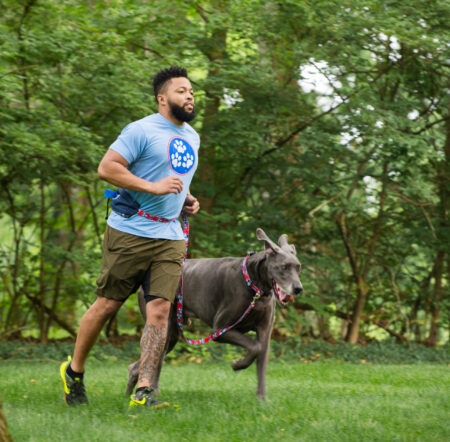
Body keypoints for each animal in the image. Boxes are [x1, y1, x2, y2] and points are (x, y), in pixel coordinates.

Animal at [125, 230, 302, 398]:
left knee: (141, 365)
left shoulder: (264, 330)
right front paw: (238, 364)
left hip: (171, 334)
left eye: (298, 267)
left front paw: (262, 398)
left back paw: (135, 394)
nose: (298, 289)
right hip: (164, 327)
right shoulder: (220, 329)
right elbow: (254, 347)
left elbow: (261, 357)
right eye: (284, 267)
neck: (254, 286)